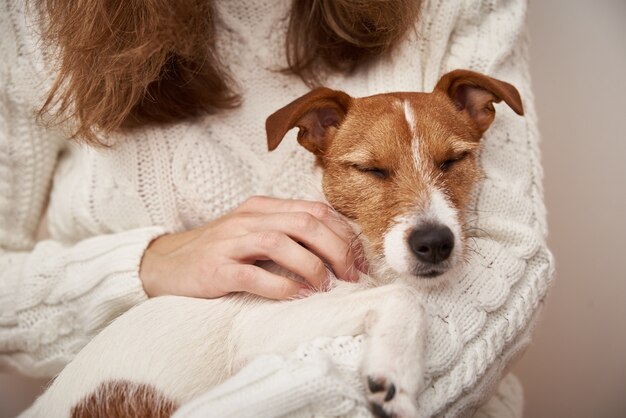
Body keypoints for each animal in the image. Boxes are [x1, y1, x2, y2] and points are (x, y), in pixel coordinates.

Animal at [24, 70, 520, 416]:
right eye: (371, 170)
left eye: (454, 160)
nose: (434, 243)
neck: (363, 256)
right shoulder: (261, 324)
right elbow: (403, 297)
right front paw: (394, 376)